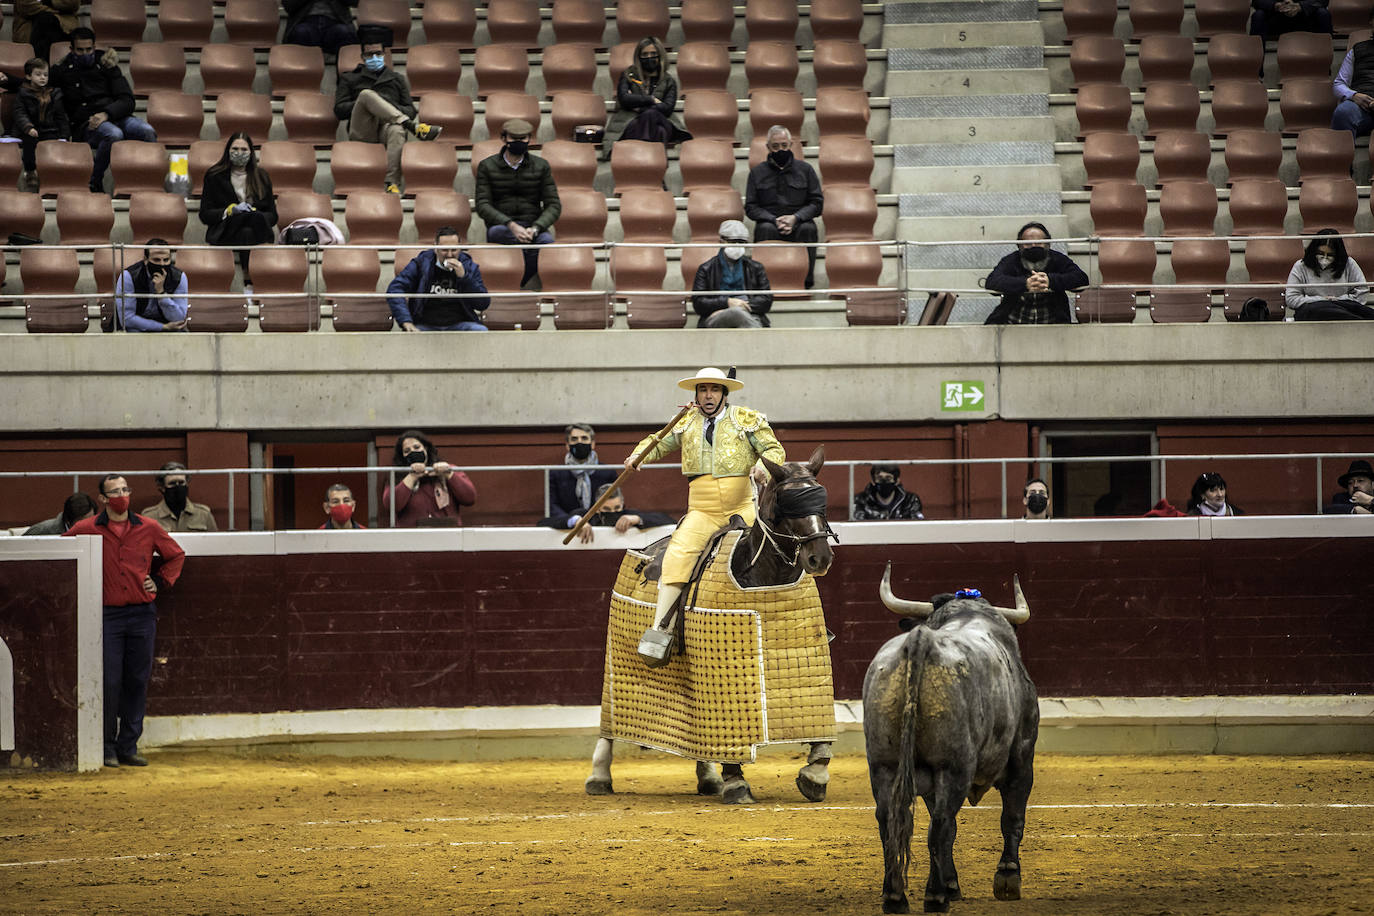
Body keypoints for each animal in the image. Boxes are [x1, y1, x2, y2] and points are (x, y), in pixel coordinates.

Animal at [582, 447, 829, 807]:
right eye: (786, 503)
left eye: (821, 502)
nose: (819, 558)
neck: (760, 574)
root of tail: (645, 550)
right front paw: (736, 782)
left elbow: (820, 737)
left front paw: (815, 775)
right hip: (618, 654)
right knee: (608, 723)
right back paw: (599, 776)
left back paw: (708, 777)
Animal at [862, 565, 1033, 916]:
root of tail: (920, 641)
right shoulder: (1023, 756)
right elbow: (1012, 817)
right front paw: (1008, 878)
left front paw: (953, 884)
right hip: (952, 767)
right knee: (942, 823)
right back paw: (935, 897)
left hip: (883, 765)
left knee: (892, 821)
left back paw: (895, 897)